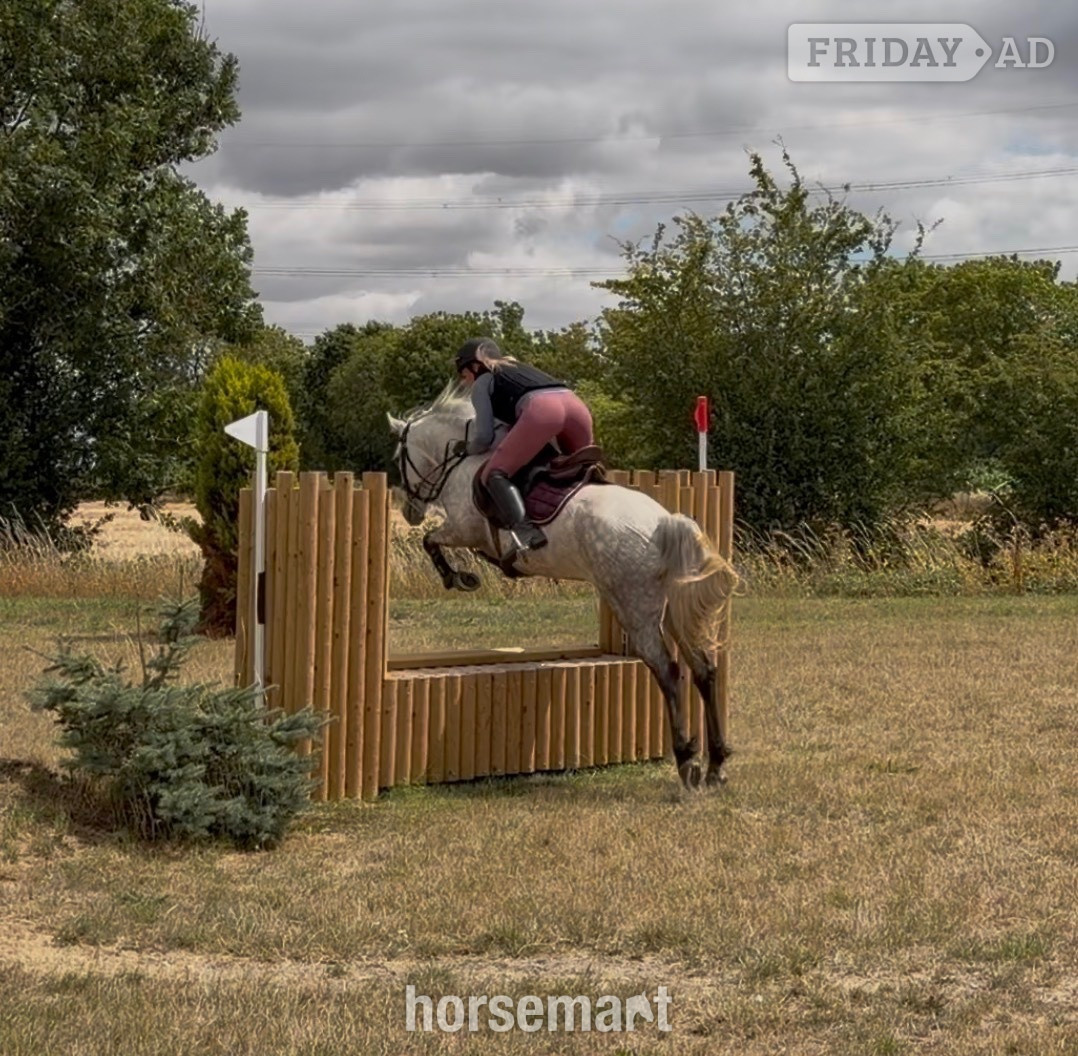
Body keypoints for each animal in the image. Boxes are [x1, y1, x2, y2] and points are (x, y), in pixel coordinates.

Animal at [388, 384, 738, 789]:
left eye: (399, 458)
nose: (411, 512)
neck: (462, 459)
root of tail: (665, 522)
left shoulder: (464, 529)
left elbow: (430, 541)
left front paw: (459, 578)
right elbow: (433, 541)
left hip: (634, 606)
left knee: (668, 671)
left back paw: (686, 760)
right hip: (671, 608)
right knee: (703, 669)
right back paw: (716, 763)